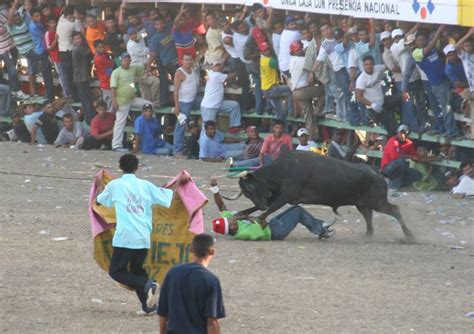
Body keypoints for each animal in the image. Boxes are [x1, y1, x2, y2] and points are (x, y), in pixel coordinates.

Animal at [228, 150, 412, 239]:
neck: (282, 169)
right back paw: (368, 235)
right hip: (362, 204)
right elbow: (252, 209)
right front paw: (240, 214)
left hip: (378, 202)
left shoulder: (285, 196)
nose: (261, 204)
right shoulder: (275, 196)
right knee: (368, 216)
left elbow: (270, 209)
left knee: (395, 210)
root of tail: (378, 173)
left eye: (250, 187)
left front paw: (259, 220)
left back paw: (409, 235)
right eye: (245, 191)